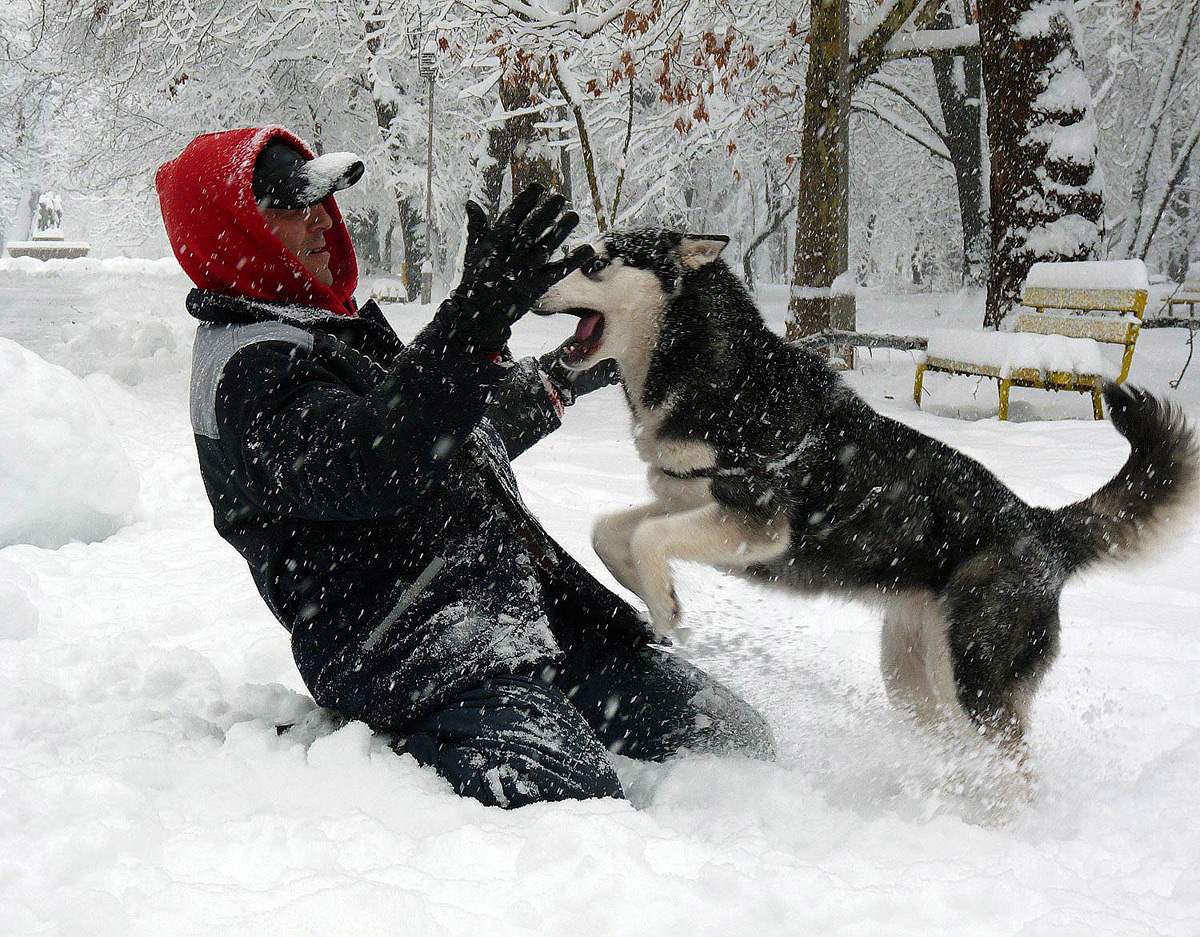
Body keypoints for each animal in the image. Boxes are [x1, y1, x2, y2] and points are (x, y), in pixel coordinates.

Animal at [540, 230, 1195, 748]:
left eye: (593, 262)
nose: (539, 290)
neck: (712, 373)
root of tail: (1042, 524)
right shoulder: (680, 498)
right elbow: (609, 532)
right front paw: (643, 590)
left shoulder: (755, 525)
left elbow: (649, 538)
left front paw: (664, 605)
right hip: (912, 671)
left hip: (975, 677)